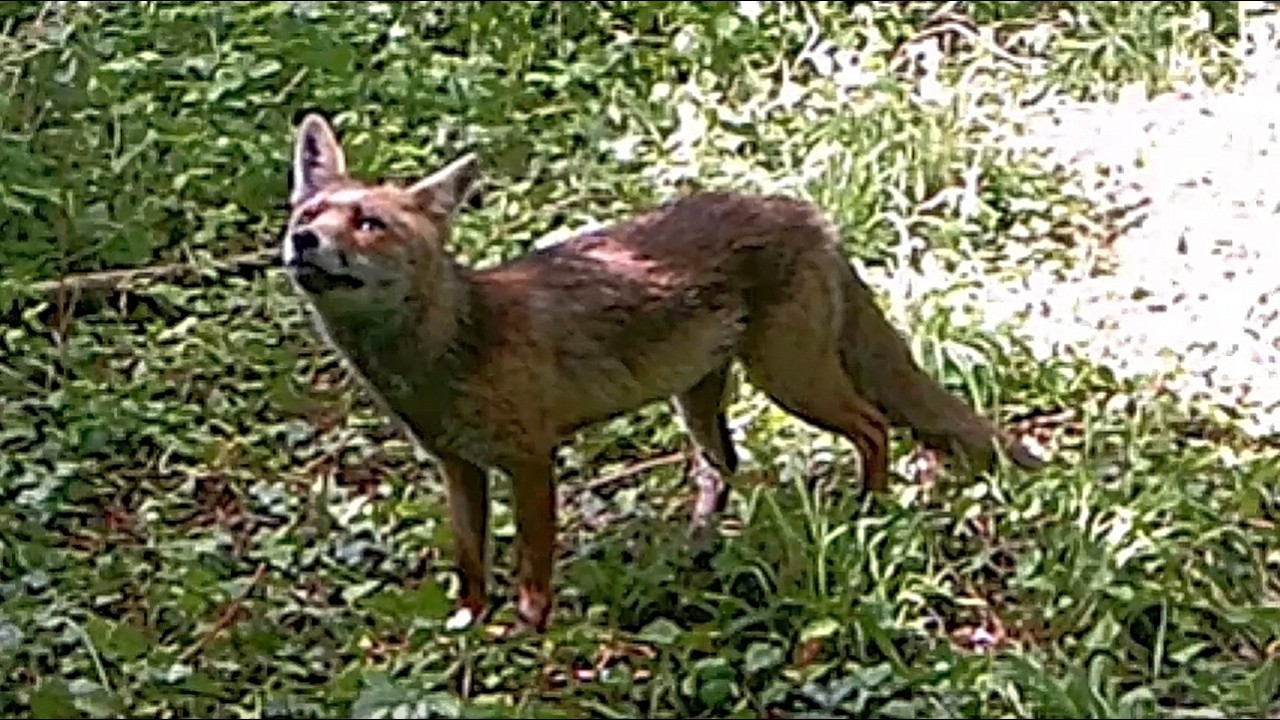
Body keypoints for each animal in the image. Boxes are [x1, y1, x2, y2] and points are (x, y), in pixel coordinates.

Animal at [281, 113, 1045, 634]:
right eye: (311, 212)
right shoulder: (458, 466)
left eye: (369, 223)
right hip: (699, 396)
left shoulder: (530, 460)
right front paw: (467, 627)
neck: (446, 353)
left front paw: (527, 635)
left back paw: (868, 512)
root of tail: (803, 211)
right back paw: (698, 547)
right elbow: (470, 563)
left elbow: (531, 564)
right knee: (725, 464)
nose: (303, 241)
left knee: (875, 425)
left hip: (790, 378)